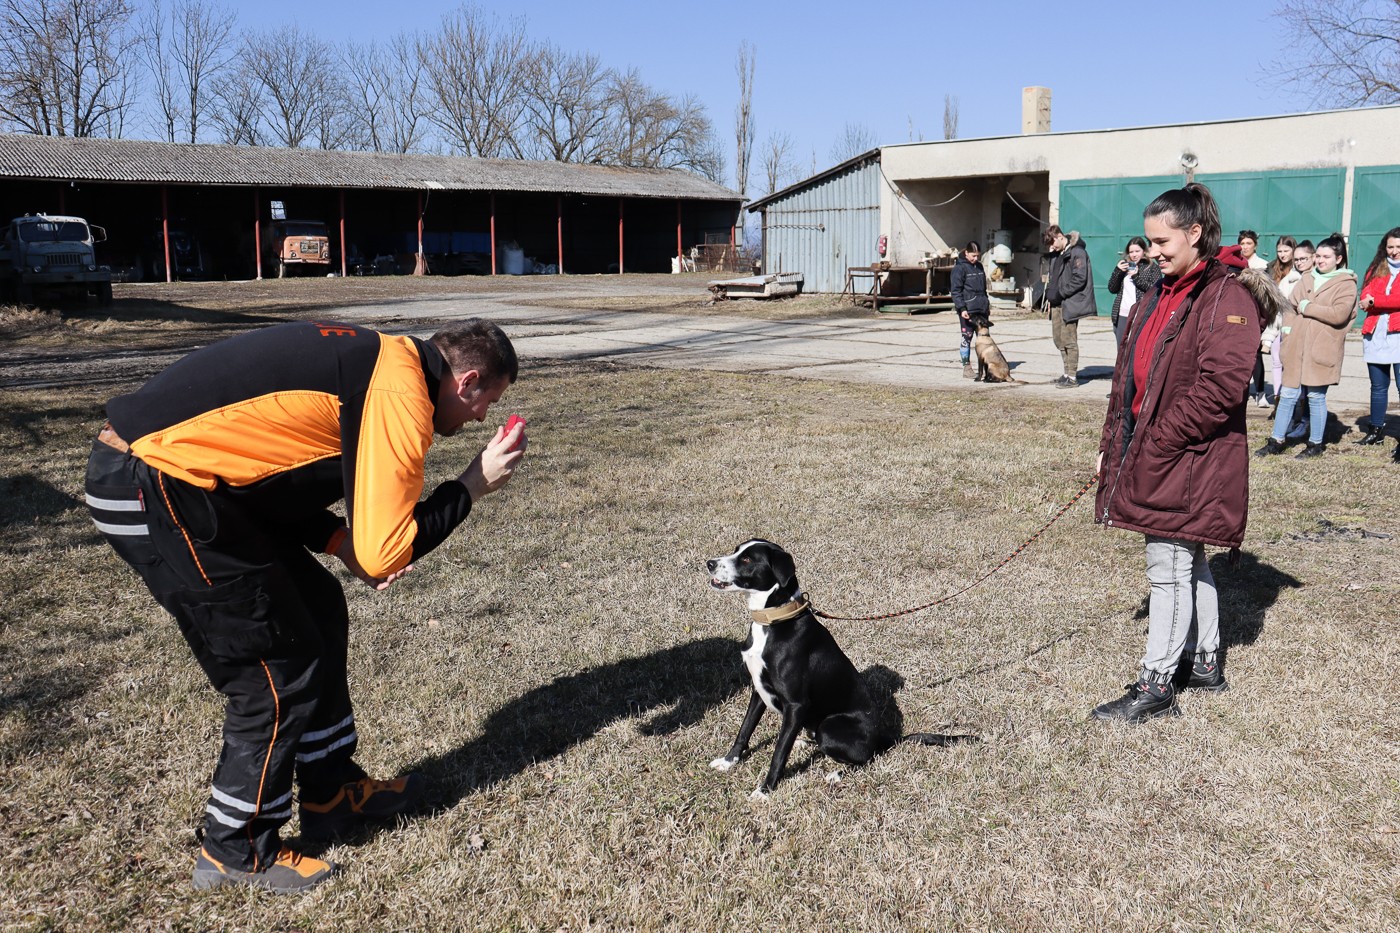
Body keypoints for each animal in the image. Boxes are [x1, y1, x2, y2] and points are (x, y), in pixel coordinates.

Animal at [705, 538, 976, 798]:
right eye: (737, 550)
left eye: (747, 559)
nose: (709, 563)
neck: (773, 622)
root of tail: (883, 737)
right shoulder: (758, 690)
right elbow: (745, 730)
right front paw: (728, 762)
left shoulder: (796, 704)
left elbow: (779, 753)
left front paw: (765, 790)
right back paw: (805, 741)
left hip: (829, 726)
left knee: (867, 757)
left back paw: (837, 773)